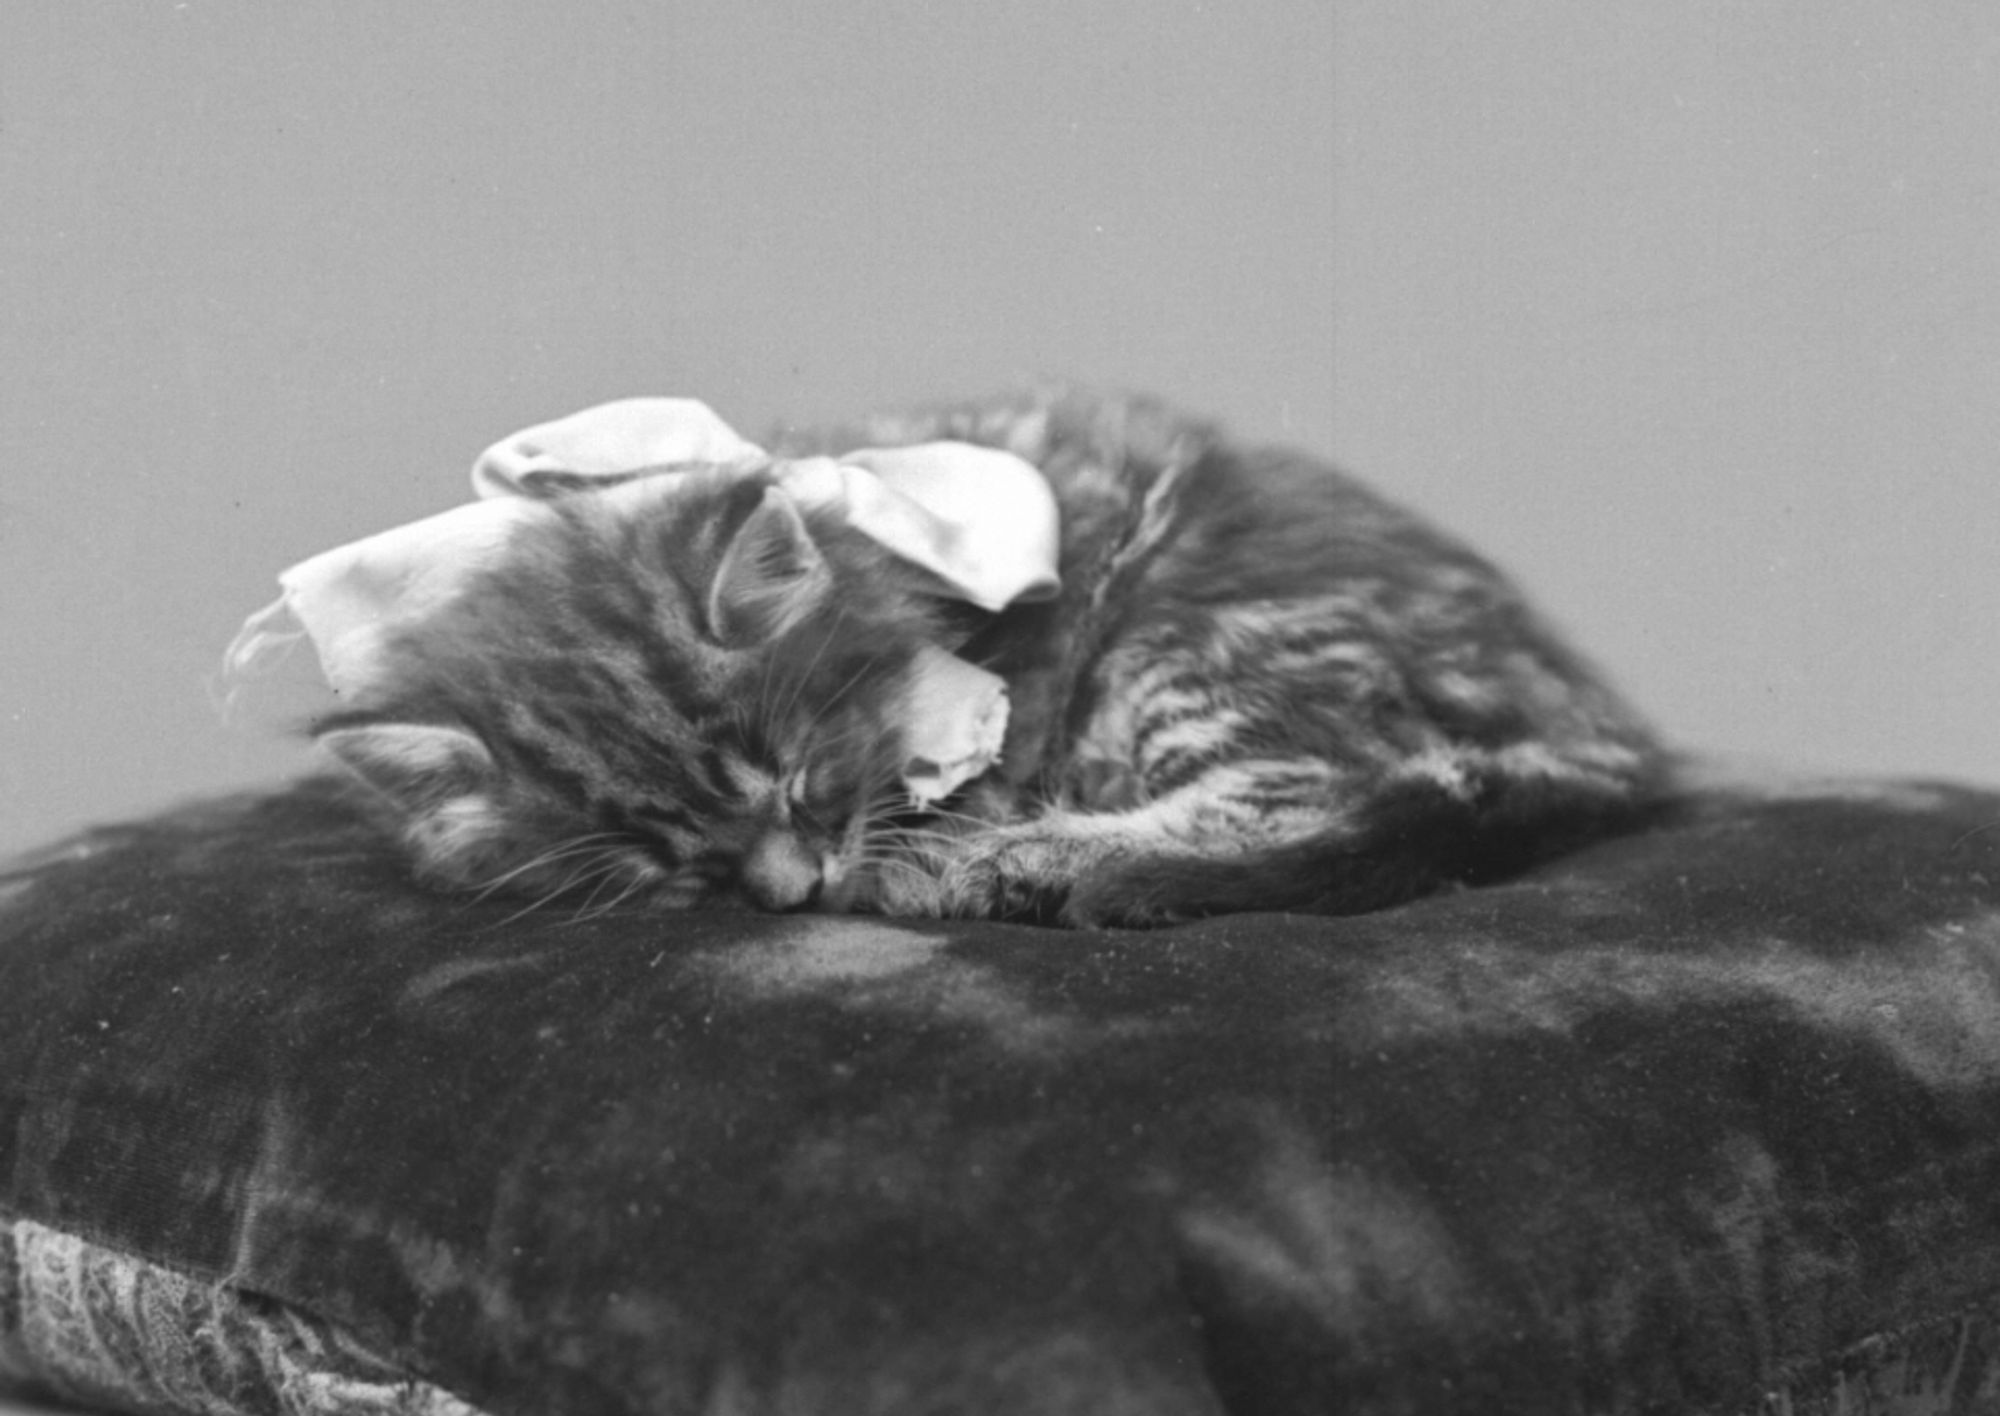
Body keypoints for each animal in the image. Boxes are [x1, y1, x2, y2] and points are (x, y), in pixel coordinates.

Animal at [320, 392, 1672, 924]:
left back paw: (1013, 867)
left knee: (1369, 790)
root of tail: (1601, 729)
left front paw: (933, 850)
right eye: (676, 862)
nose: (790, 893)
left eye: (800, 780)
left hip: (1190, 637)